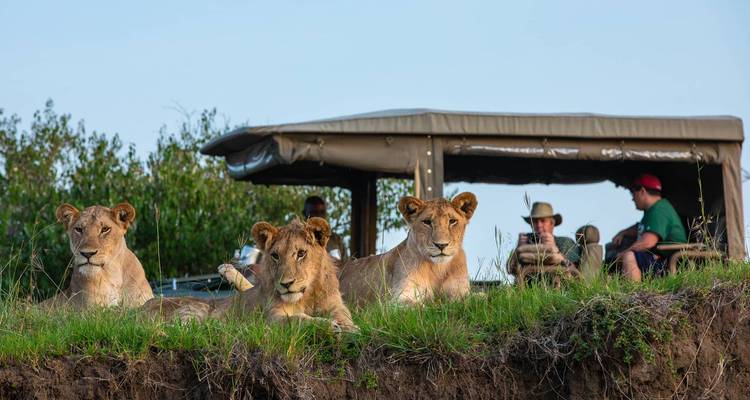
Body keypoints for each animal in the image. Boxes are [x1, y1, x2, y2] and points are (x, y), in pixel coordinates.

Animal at [142, 218, 357, 331]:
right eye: (275, 255)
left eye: (301, 253)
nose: (286, 284)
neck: (308, 296)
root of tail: (139, 308)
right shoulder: (273, 317)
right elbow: (299, 320)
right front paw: (330, 326)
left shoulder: (337, 306)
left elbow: (345, 316)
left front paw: (349, 327)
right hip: (196, 309)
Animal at [338, 192, 478, 306]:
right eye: (427, 222)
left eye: (452, 221)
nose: (441, 245)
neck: (438, 268)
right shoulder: (396, 299)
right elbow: (420, 306)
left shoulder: (461, 291)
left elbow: (474, 299)